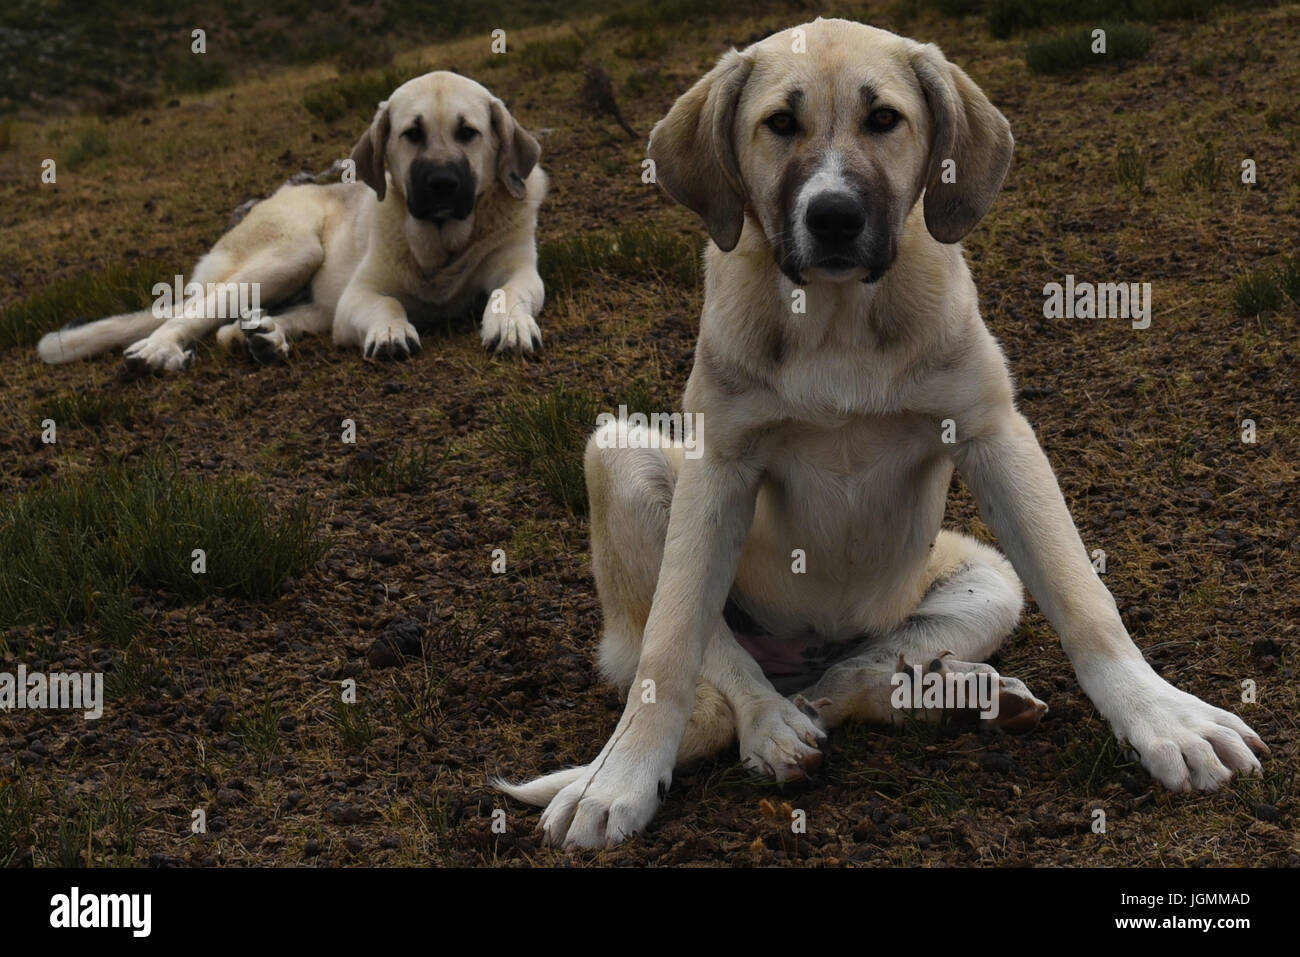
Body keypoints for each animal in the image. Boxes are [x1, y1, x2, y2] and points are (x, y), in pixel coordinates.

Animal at [39, 70, 548, 369]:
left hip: (311, 299)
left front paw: (509, 324)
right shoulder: (359, 296)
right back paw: (158, 351)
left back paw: (263, 338)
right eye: (412, 134)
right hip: (293, 252)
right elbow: (388, 305)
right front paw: (389, 332)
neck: (443, 247)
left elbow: (509, 292)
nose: (442, 184)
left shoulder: (519, 269)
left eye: (468, 133)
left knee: (230, 328)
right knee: (194, 315)